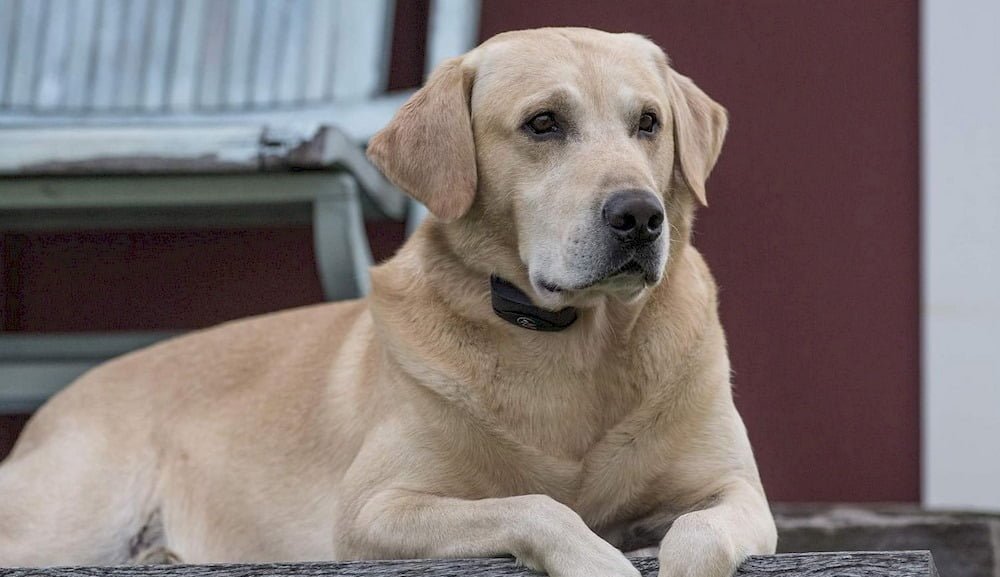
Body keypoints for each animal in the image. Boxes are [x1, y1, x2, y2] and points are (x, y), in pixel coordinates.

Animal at [0, 28, 772, 576]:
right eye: (543, 123)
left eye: (649, 122)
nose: (639, 216)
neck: (574, 342)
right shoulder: (374, 509)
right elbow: (536, 505)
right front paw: (598, 557)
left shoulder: (740, 494)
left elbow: (697, 536)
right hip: (72, 517)